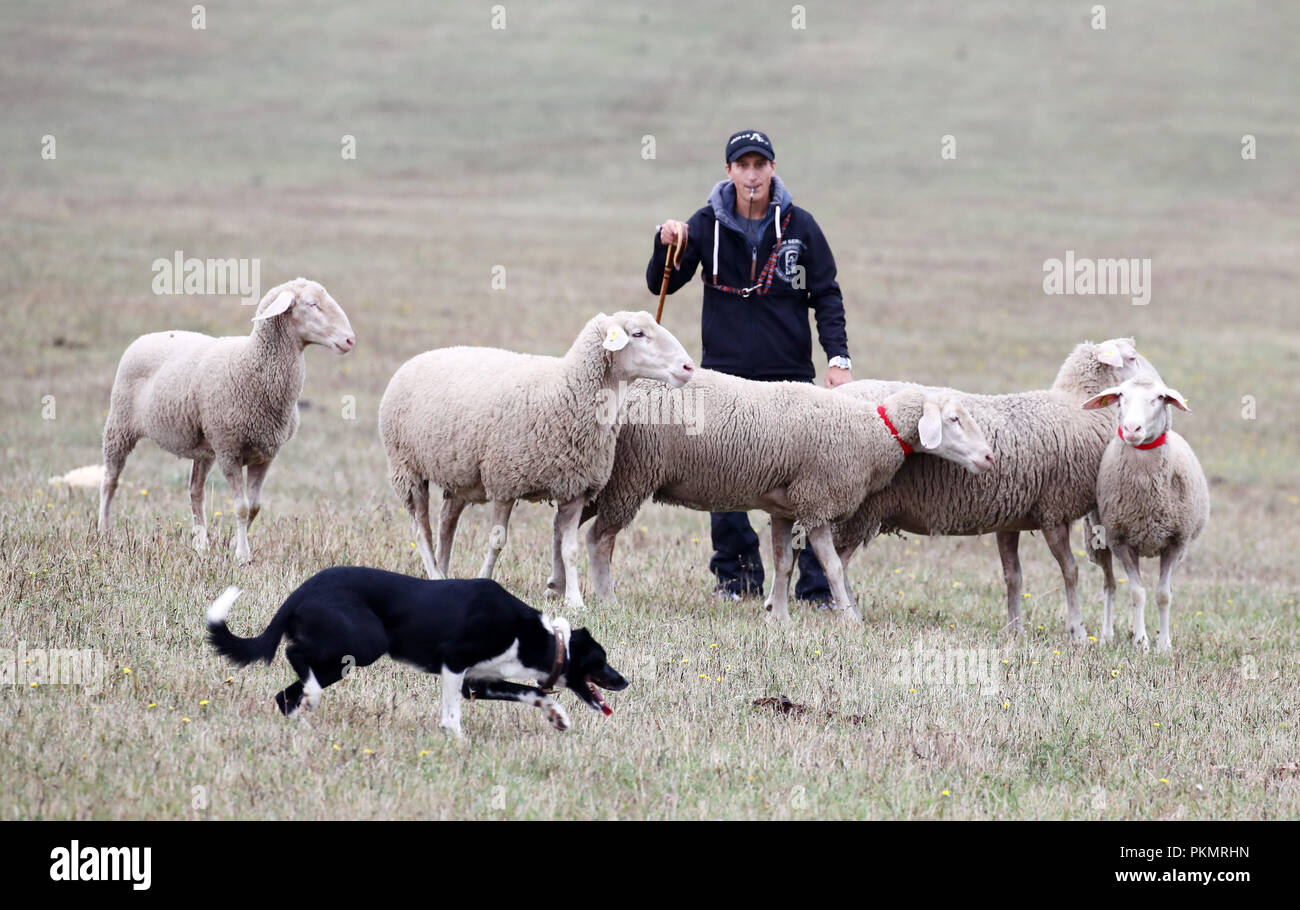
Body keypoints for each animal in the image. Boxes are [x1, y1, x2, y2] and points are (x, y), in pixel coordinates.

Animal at [98, 275, 356, 561]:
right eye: (312, 304)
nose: (349, 340)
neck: (252, 362)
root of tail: (148, 336)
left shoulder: (264, 454)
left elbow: (254, 507)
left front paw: (234, 544)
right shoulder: (229, 450)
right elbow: (241, 507)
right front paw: (242, 556)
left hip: (204, 448)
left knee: (195, 491)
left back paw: (201, 543)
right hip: (119, 425)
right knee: (110, 481)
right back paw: (104, 532)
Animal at [377, 309, 696, 608]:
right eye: (638, 334)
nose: (688, 367)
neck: (567, 390)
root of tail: (417, 359)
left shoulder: (574, 488)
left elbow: (569, 549)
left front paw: (574, 600)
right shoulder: (504, 482)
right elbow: (497, 541)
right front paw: (485, 580)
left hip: (460, 474)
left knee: (446, 523)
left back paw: (442, 577)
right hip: (406, 468)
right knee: (422, 530)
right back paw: (434, 573)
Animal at [582, 366, 993, 621]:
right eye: (953, 420)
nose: (988, 457)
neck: (874, 430)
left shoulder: (786, 506)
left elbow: (783, 563)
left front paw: (779, 617)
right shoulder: (818, 500)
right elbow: (832, 565)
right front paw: (850, 620)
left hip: (601, 481)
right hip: (629, 477)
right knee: (599, 540)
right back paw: (607, 600)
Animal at [832, 338, 1159, 642]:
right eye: (1131, 358)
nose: (1160, 385)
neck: (1075, 407)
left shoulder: (1010, 519)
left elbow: (1013, 576)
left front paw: (1015, 629)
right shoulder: (1053, 511)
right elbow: (1070, 571)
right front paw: (1077, 632)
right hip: (858, 509)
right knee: (838, 563)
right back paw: (851, 616)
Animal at [1076, 374, 1206, 650]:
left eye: (1160, 397)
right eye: (1121, 395)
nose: (1132, 429)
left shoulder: (1175, 542)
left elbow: (1163, 595)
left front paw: (1164, 645)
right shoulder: (1122, 542)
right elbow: (1137, 593)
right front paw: (1142, 642)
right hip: (1100, 541)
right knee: (1110, 586)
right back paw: (1107, 636)